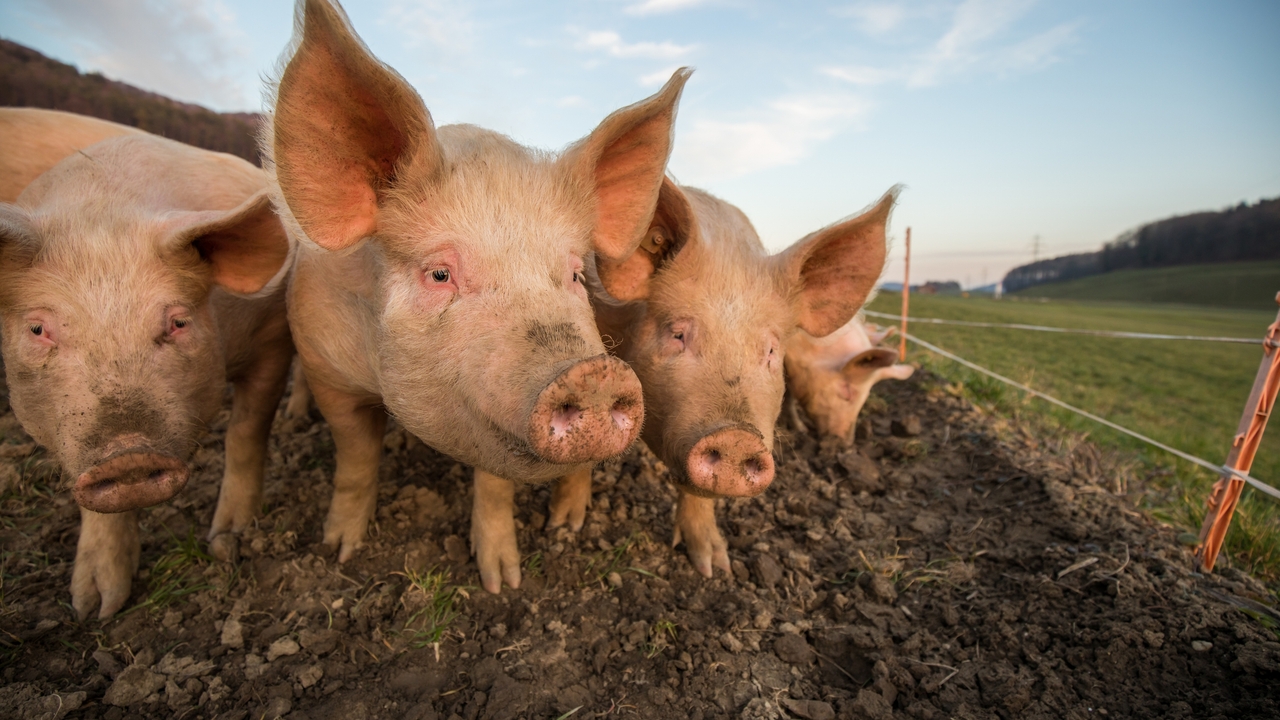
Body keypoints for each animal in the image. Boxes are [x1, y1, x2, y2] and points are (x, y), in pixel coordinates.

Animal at [0, 128, 295, 618]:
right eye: (38, 329)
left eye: (178, 322)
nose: (128, 455)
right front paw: (94, 608)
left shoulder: (272, 337)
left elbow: (245, 433)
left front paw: (228, 535)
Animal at [263, 0, 688, 593]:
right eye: (440, 274)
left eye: (574, 276)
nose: (596, 375)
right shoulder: (330, 369)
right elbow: (355, 459)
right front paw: (338, 550)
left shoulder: (487, 418)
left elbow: (494, 487)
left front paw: (502, 582)